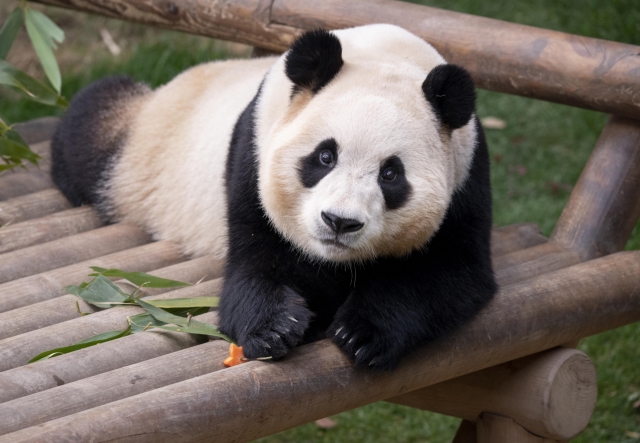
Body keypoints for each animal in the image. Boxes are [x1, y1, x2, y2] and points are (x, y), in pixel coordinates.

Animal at [52, 24, 498, 372]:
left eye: (391, 174)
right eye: (324, 156)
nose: (339, 222)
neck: (385, 55)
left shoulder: (466, 177)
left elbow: (449, 273)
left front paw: (362, 333)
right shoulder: (252, 155)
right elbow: (254, 267)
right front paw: (276, 328)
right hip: (139, 156)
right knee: (92, 120)